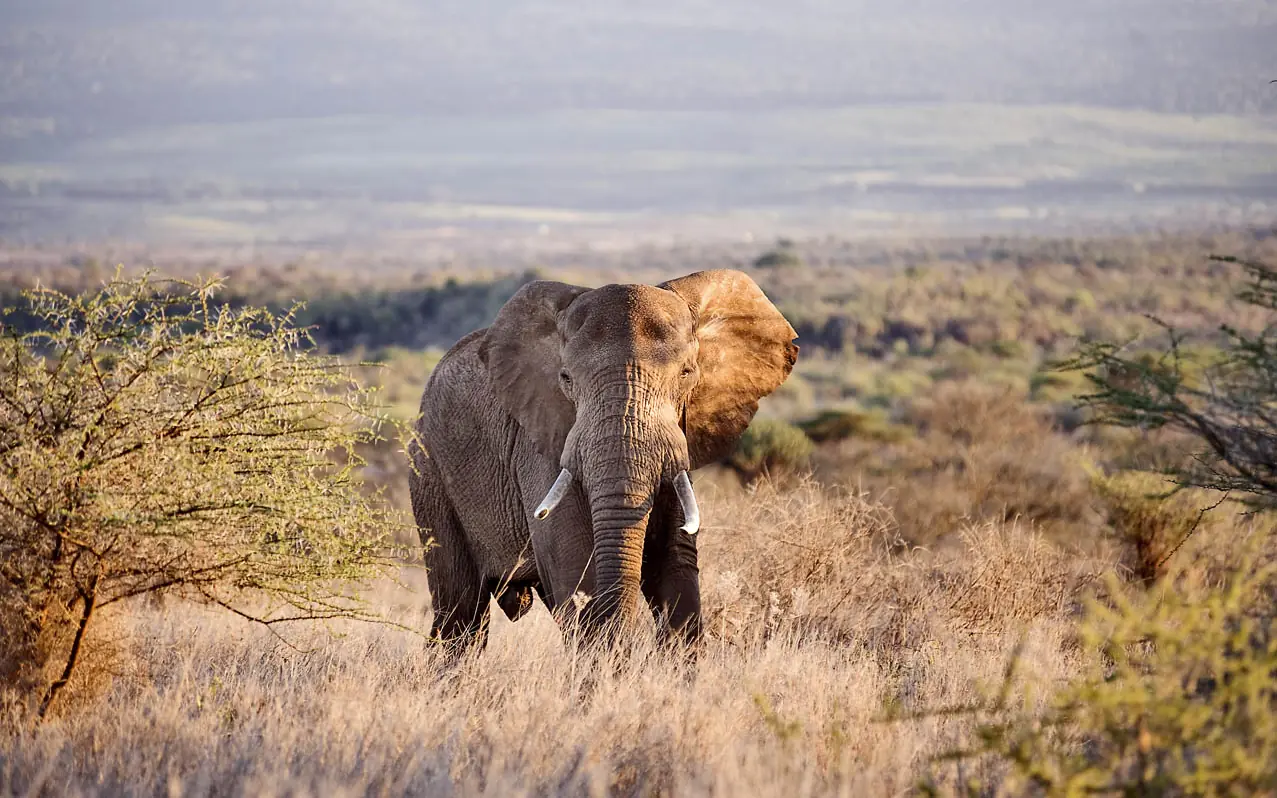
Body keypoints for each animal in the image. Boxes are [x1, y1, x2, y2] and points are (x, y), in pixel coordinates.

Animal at [407, 269, 798, 650]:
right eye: (566, 378)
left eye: (687, 373)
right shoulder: (542, 444)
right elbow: (575, 562)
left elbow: (675, 563)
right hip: (429, 472)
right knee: (460, 616)